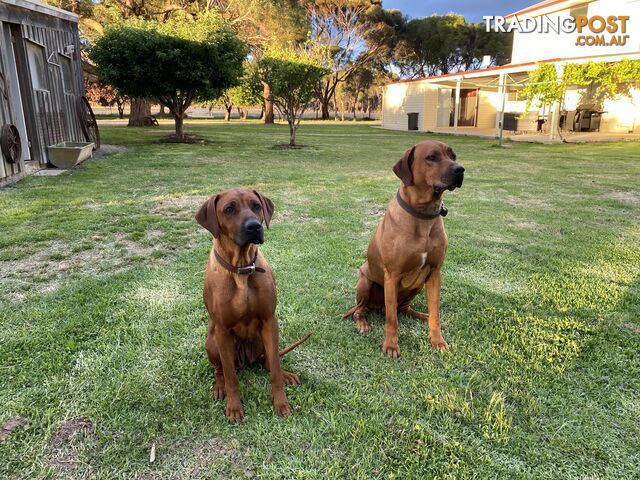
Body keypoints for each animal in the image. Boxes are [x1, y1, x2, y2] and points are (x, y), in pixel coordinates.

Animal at [196, 188, 308, 420]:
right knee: (220, 370)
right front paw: (234, 407)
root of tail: (246, 361)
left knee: (268, 361)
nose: (254, 226)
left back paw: (286, 374)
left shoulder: (269, 321)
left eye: (256, 206)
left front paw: (281, 402)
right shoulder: (222, 330)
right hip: (212, 342)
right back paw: (219, 386)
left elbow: (274, 368)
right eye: (229, 209)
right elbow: (231, 377)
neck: (242, 267)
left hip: (261, 339)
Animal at [344, 139, 464, 356]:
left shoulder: (435, 272)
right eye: (431, 157)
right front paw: (391, 345)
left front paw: (437, 340)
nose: (460, 169)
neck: (423, 214)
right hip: (365, 282)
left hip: (418, 284)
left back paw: (421, 315)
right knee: (362, 310)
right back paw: (363, 323)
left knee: (403, 309)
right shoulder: (392, 275)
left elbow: (435, 313)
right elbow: (392, 320)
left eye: (453, 156)